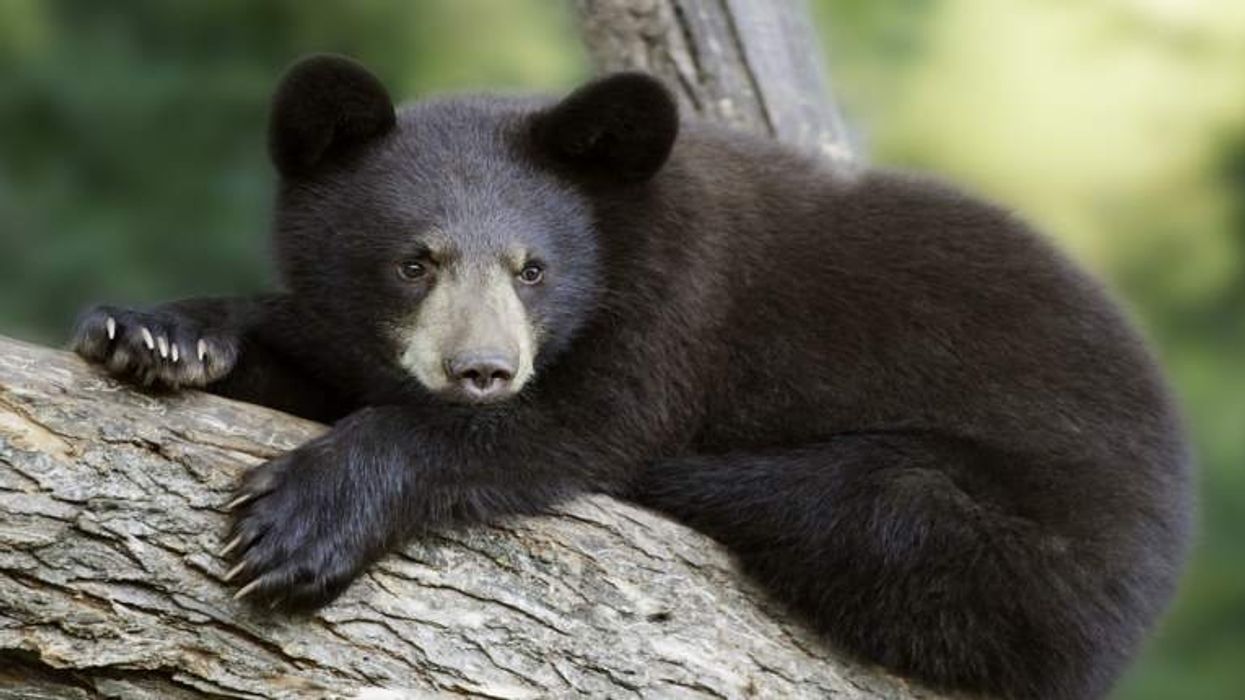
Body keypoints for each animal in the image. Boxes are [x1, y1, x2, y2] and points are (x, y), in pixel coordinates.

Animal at [71, 54, 1191, 700]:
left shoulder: (676, 307)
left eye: (534, 267)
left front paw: (301, 521)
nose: (482, 369)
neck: (622, 238)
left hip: (1022, 534)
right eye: (414, 260)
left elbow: (578, 427)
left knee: (862, 511)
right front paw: (158, 334)